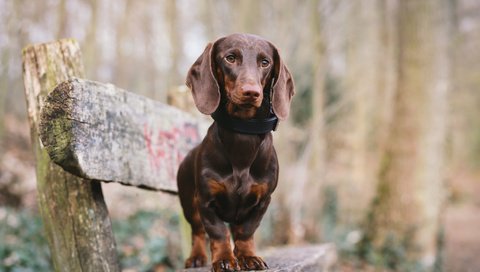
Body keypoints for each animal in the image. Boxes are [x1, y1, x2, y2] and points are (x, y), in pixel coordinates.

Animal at [178, 34, 294, 272]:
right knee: (197, 231)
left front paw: (248, 257)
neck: (243, 136)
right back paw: (196, 257)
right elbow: (218, 233)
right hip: (189, 204)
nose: (251, 92)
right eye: (230, 58)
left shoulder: (262, 201)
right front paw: (224, 259)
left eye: (265, 62)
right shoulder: (206, 201)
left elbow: (245, 232)